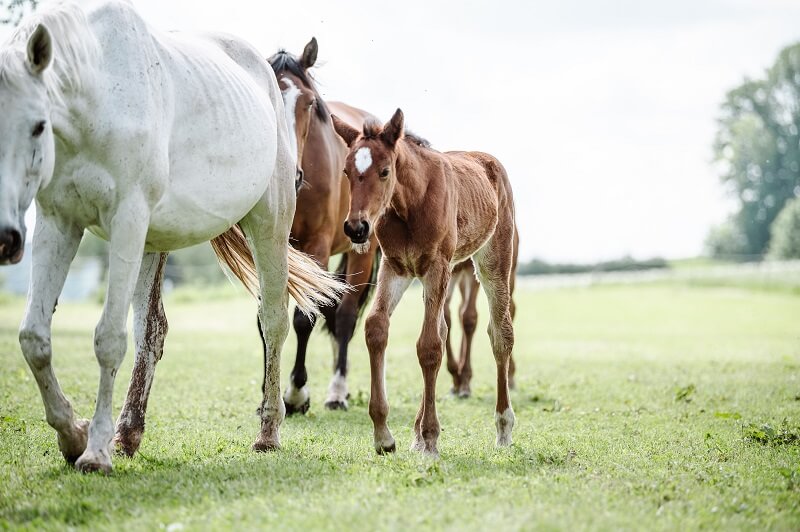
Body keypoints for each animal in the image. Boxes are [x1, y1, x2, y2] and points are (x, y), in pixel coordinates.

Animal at [0, 0, 342, 474]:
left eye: (38, 125)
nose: (6, 240)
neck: (98, 91)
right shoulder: (57, 221)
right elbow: (34, 337)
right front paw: (73, 435)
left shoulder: (126, 220)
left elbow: (108, 339)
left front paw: (95, 451)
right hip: (152, 243)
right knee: (152, 329)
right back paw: (128, 433)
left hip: (268, 225)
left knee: (273, 320)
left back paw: (269, 430)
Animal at [332, 109, 516, 458]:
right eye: (346, 171)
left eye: (385, 171)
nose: (356, 228)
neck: (410, 204)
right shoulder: (396, 267)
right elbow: (376, 328)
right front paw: (384, 435)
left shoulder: (437, 266)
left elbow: (429, 345)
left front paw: (431, 438)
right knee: (445, 328)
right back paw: (416, 433)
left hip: (493, 262)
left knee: (501, 333)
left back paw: (503, 427)